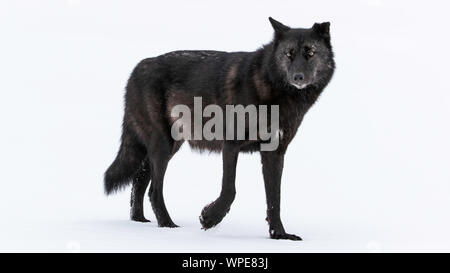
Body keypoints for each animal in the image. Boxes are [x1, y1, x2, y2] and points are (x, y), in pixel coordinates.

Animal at [104, 17, 334, 239]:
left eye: (310, 52)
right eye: (288, 54)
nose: (298, 77)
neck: (273, 90)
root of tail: (137, 68)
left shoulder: (274, 153)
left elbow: (274, 199)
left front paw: (279, 234)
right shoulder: (231, 145)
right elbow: (230, 189)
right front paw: (209, 218)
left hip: (169, 147)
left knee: (139, 180)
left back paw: (139, 221)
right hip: (163, 145)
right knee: (153, 190)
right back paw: (168, 226)